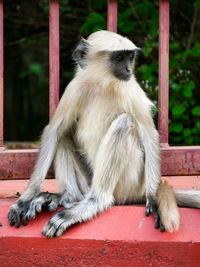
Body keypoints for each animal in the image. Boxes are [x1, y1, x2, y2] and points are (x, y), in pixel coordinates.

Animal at [7, 30, 198, 240]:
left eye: (130, 56)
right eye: (119, 57)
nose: (128, 69)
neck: (103, 84)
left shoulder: (131, 89)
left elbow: (149, 134)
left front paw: (154, 199)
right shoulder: (75, 88)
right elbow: (54, 131)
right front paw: (26, 198)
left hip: (128, 183)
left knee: (124, 124)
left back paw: (95, 202)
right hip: (88, 181)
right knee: (64, 134)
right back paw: (68, 197)